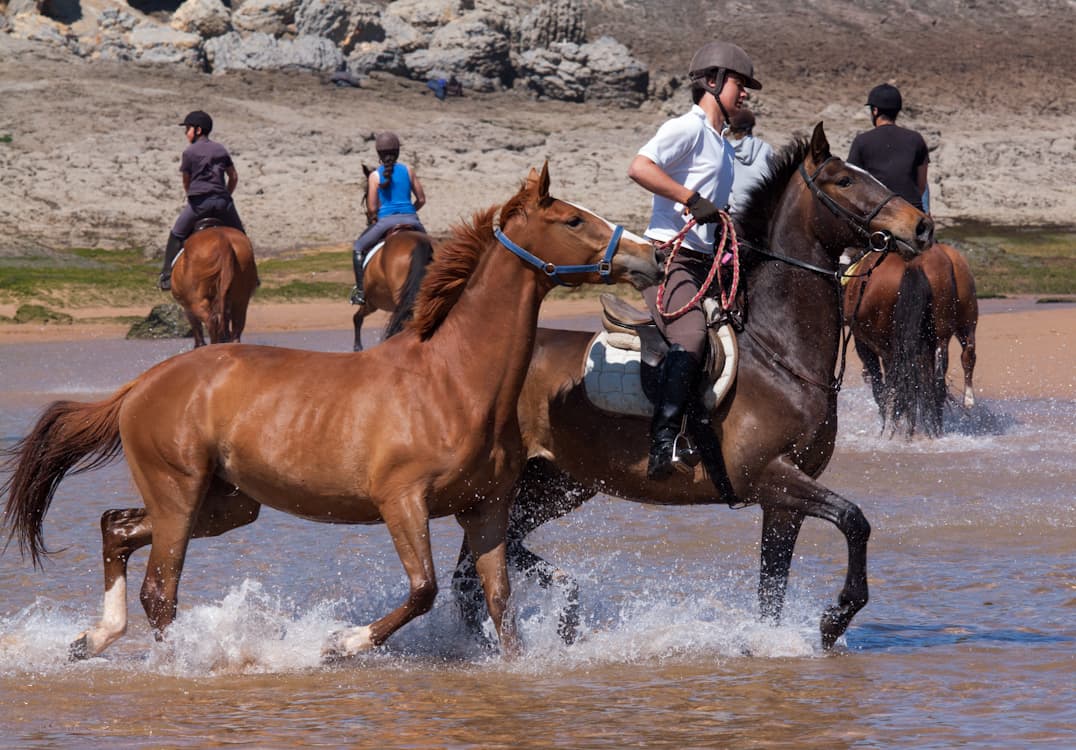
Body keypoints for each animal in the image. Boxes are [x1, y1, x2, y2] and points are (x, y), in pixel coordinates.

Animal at [0, 165, 658, 662]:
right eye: (572, 220)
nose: (649, 257)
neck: (454, 381)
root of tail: (143, 381)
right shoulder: (401, 502)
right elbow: (423, 589)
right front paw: (340, 643)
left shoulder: (487, 509)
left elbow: (500, 606)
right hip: (178, 495)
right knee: (159, 590)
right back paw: (178, 662)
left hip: (225, 505)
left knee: (116, 527)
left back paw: (91, 639)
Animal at [445, 124, 933, 649]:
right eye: (844, 180)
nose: (922, 227)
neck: (779, 352)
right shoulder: (769, 476)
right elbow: (854, 520)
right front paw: (835, 617)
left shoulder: (784, 503)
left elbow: (774, 588)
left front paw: (771, 641)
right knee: (485, 558)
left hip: (553, 485)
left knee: (479, 563)